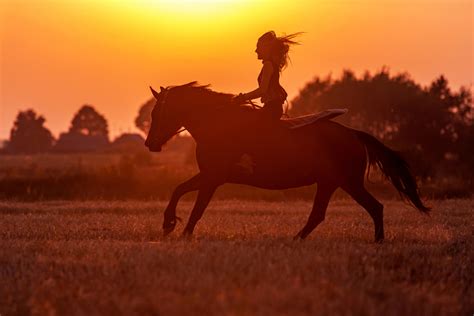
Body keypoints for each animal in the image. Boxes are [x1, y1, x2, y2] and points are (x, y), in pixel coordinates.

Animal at [143, 81, 430, 242]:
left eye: (157, 112)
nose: (150, 144)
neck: (218, 125)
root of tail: (353, 134)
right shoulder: (210, 176)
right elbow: (178, 190)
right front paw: (169, 224)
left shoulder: (213, 178)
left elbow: (197, 207)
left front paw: (181, 231)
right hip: (332, 183)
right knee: (329, 213)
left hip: (346, 183)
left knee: (370, 208)